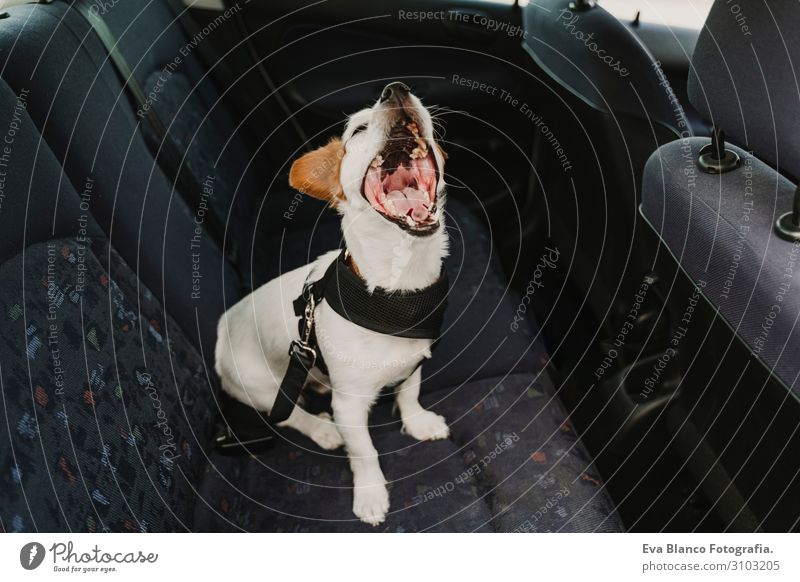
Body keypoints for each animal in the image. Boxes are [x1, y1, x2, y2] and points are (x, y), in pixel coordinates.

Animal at [212, 84, 450, 528]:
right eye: (357, 129)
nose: (396, 90)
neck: (395, 295)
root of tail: (222, 328)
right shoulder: (349, 405)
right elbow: (365, 452)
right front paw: (370, 494)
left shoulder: (413, 362)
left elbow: (409, 394)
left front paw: (418, 422)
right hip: (258, 386)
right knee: (289, 414)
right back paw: (323, 431)